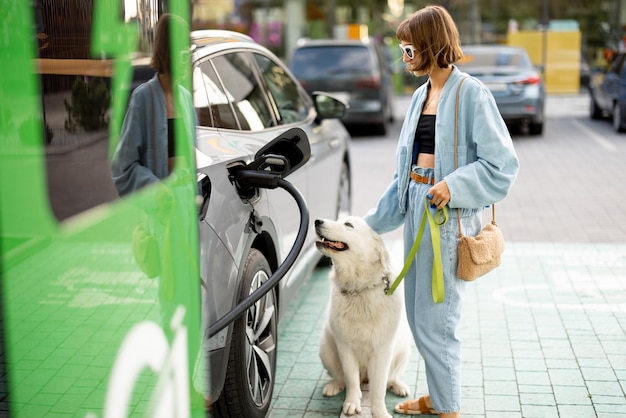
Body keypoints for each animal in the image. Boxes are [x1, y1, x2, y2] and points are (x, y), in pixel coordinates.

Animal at [314, 216, 412, 418]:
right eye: (337, 220)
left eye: (348, 225)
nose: (317, 221)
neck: (360, 289)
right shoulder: (345, 346)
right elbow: (351, 380)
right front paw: (352, 403)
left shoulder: (383, 350)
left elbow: (379, 387)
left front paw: (380, 412)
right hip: (326, 348)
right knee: (341, 377)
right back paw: (334, 386)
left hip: (404, 350)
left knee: (390, 378)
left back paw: (398, 386)